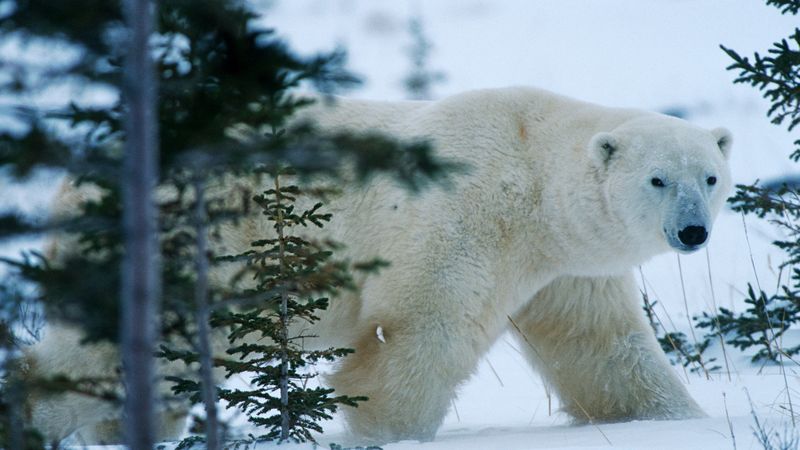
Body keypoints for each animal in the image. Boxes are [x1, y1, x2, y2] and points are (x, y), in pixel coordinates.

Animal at [22, 86, 732, 444]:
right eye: (658, 179)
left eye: (711, 176)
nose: (693, 231)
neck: (530, 173)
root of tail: (74, 184)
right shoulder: (463, 221)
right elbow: (419, 333)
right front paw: (383, 431)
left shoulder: (567, 268)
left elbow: (601, 345)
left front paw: (675, 421)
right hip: (194, 246)